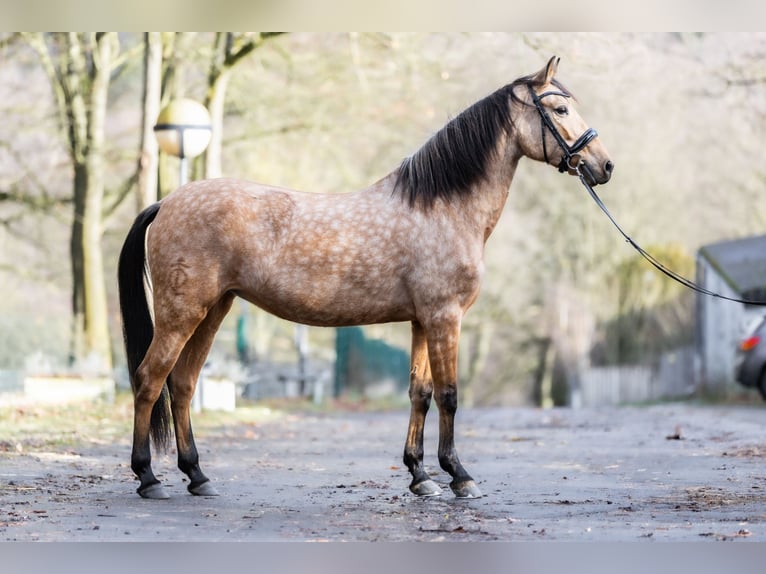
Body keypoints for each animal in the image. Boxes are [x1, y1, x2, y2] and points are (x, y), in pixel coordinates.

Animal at [117, 56, 616, 502]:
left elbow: (420, 393)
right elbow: (449, 395)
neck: (443, 207)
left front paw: (420, 476)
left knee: (182, 385)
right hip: (181, 313)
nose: (604, 165)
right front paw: (459, 476)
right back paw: (149, 478)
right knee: (149, 380)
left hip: (214, 309)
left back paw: (197, 476)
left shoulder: (421, 321)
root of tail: (165, 202)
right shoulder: (444, 317)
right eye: (560, 109)